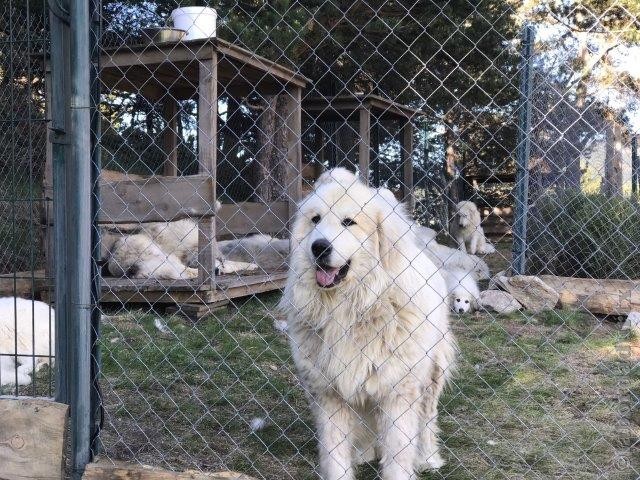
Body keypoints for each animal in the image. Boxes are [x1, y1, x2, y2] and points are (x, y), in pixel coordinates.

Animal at [280, 169, 456, 480]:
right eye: (315, 220)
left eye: (349, 222)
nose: (318, 247)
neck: (355, 306)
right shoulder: (330, 395)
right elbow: (335, 455)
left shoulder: (398, 394)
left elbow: (398, 457)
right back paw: (363, 454)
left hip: (431, 376)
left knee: (426, 420)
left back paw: (428, 458)